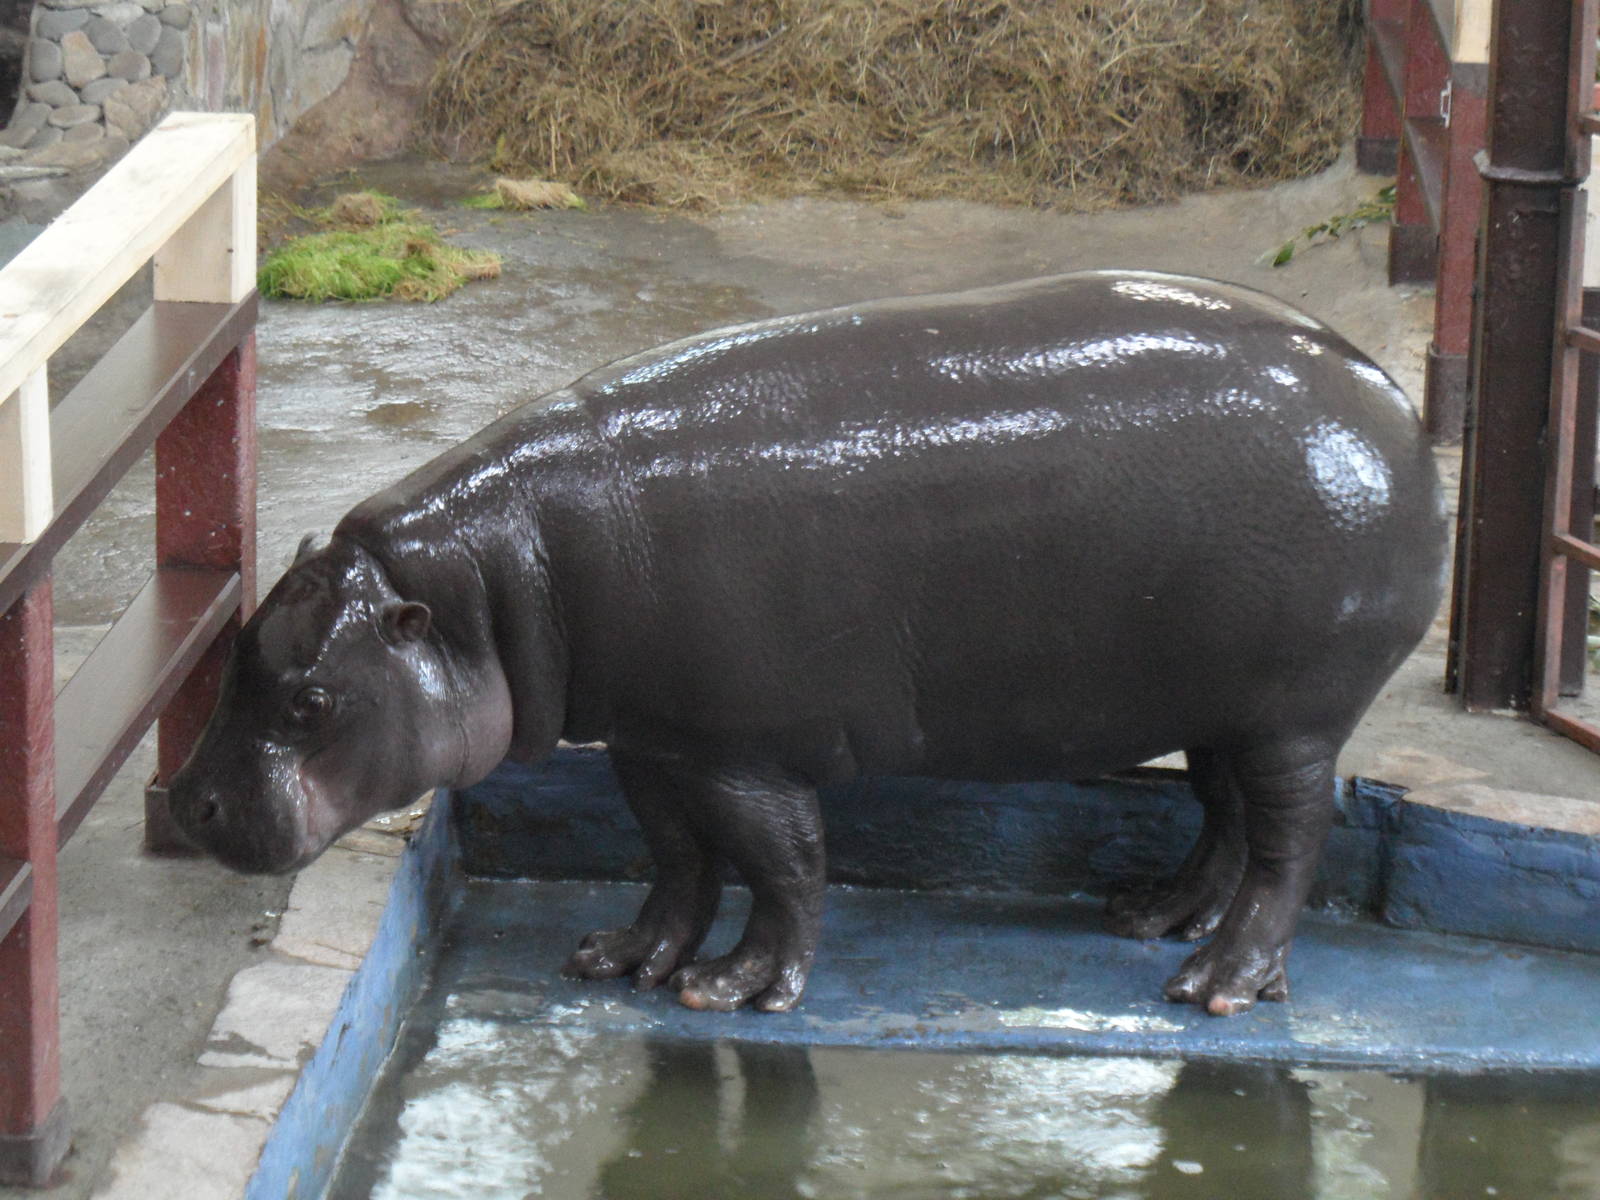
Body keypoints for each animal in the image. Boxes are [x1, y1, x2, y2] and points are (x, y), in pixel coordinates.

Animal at [169, 270, 1447, 1016]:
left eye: (311, 703)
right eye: (239, 657)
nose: (189, 805)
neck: (495, 582)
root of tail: (1387, 391)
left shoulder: (744, 752)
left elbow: (783, 866)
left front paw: (732, 990)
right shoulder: (652, 742)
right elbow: (674, 860)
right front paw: (620, 960)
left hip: (1295, 715)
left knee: (1288, 843)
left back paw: (1217, 983)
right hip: (1221, 700)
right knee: (1220, 816)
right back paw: (1146, 918)